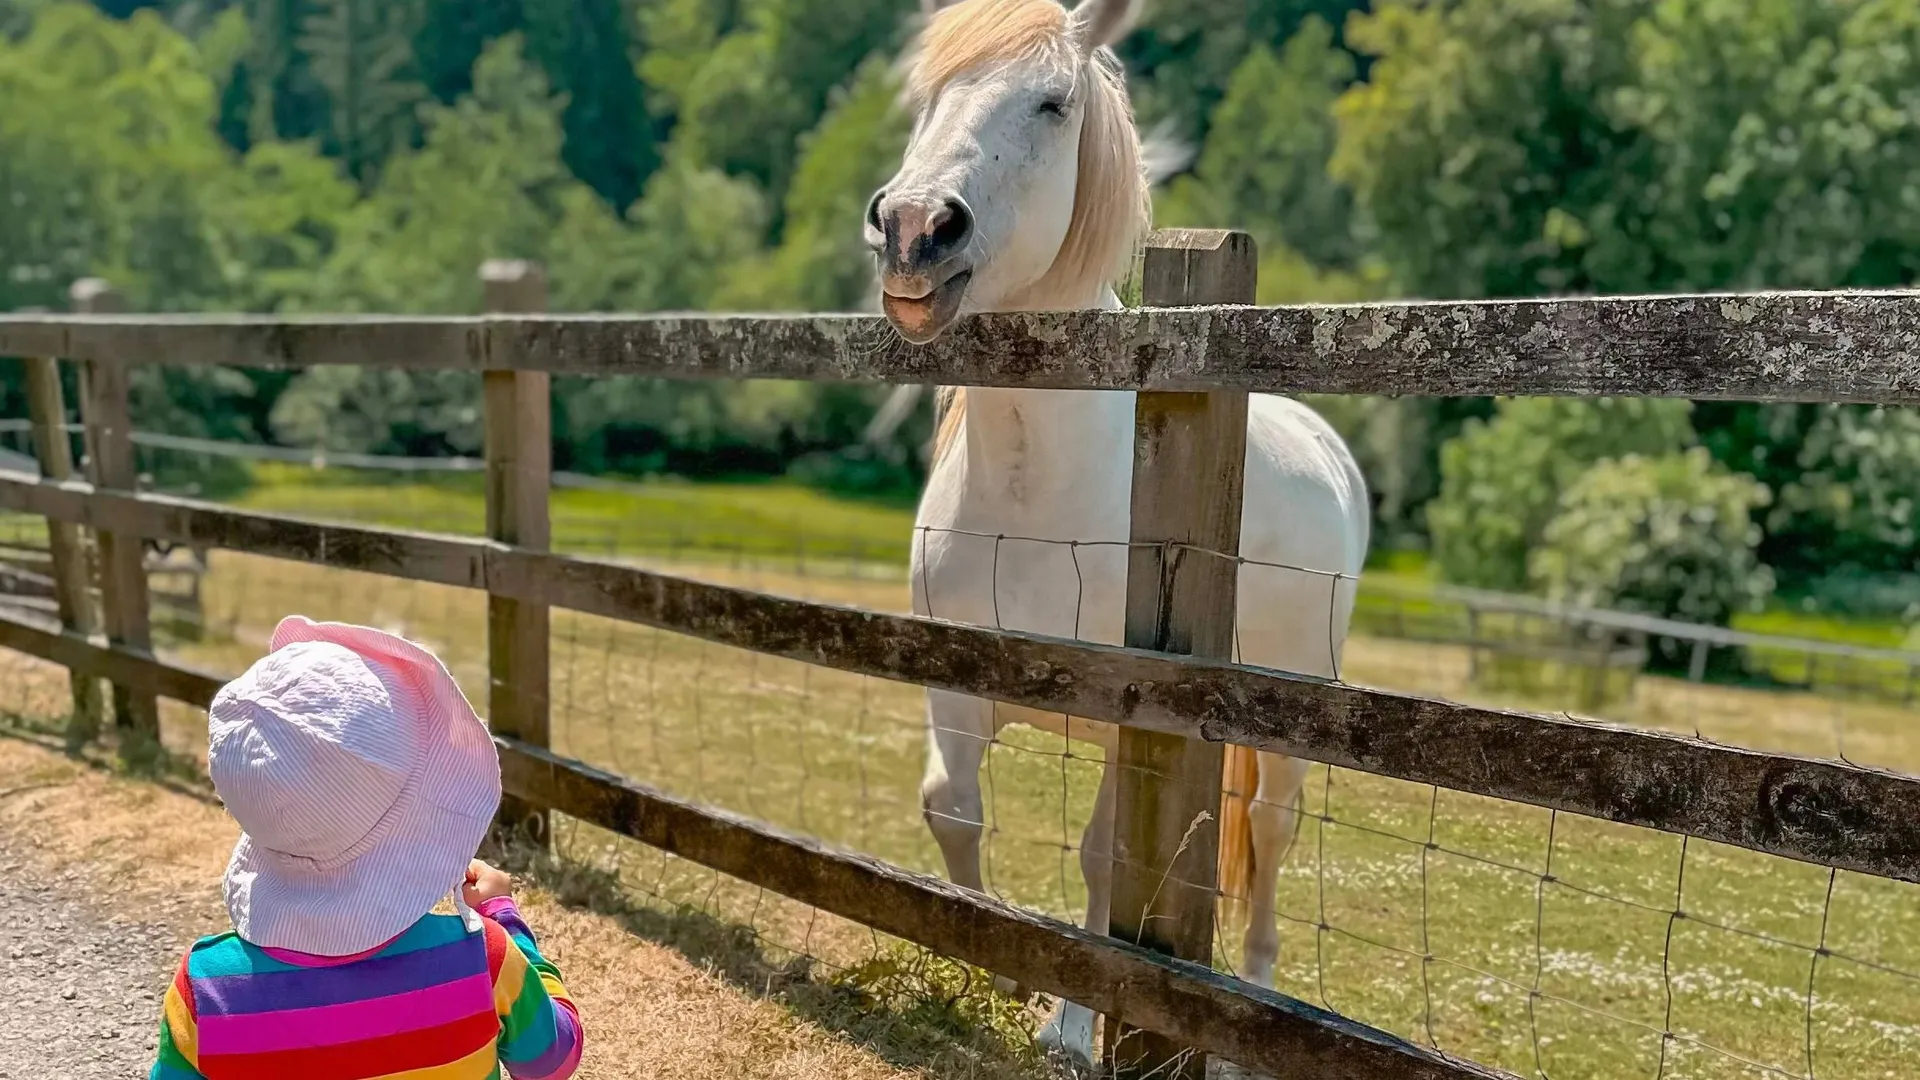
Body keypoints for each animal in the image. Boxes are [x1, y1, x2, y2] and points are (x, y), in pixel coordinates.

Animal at [865, 0, 1371, 1063]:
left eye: (1052, 103)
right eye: (928, 94)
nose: (914, 229)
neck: (1038, 490)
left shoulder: (1123, 716)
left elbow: (1104, 861)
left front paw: (1070, 1020)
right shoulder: (953, 684)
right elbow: (953, 813)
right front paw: (1002, 968)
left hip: (1294, 713)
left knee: (1270, 833)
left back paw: (1252, 1004)